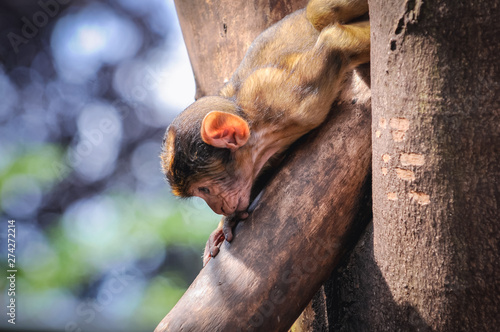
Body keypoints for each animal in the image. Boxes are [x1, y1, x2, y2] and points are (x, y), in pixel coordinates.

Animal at [161, 0, 372, 264]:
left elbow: (333, 40)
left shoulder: (287, 97)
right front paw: (226, 224)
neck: (259, 131)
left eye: (205, 189)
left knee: (320, 13)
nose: (218, 208)